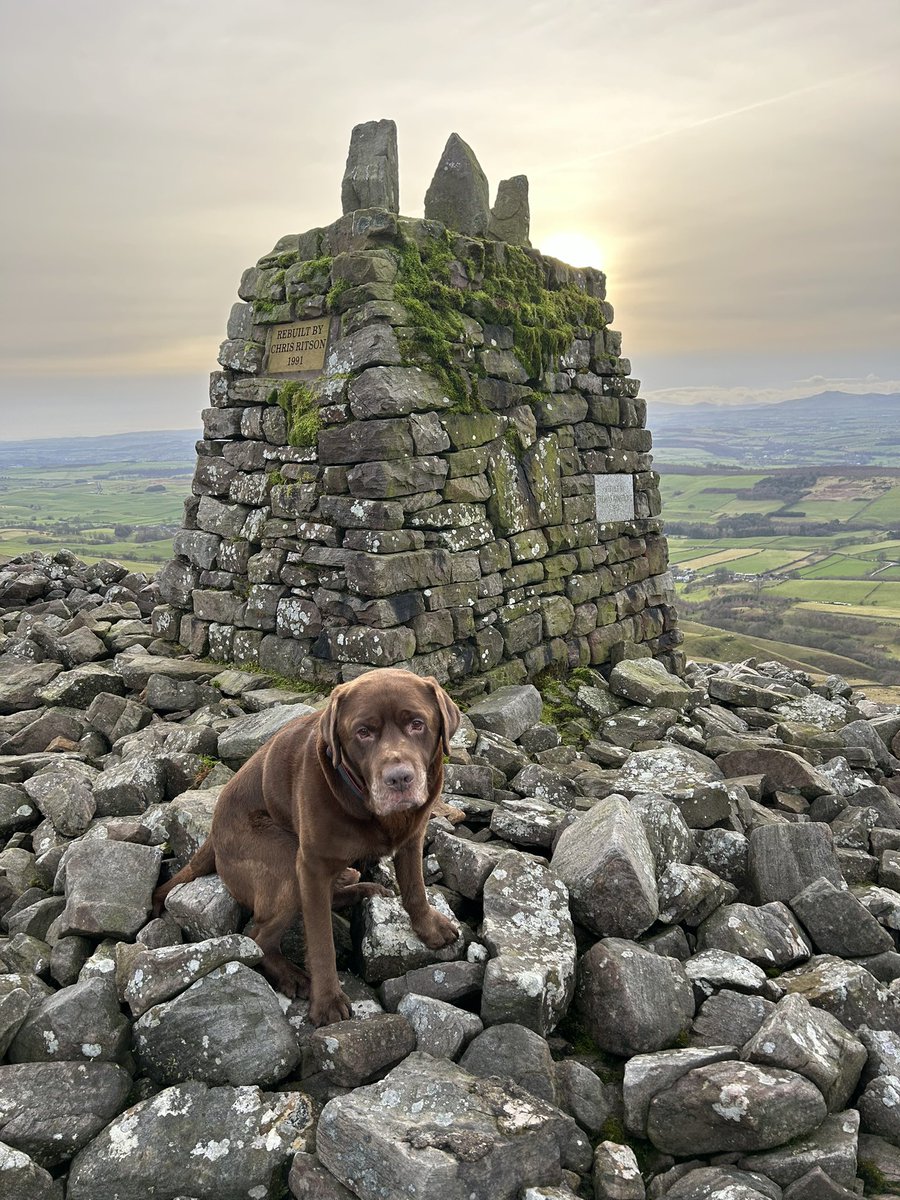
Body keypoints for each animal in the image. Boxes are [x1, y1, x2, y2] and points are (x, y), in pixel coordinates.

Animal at [152, 667, 460, 1022]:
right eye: (363, 732)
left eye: (417, 724)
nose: (399, 778)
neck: (365, 803)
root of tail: (212, 837)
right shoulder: (311, 866)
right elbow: (321, 939)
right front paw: (326, 1001)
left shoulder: (412, 836)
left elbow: (415, 887)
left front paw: (429, 926)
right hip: (284, 863)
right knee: (258, 937)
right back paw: (291, 975)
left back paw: (362, 888)